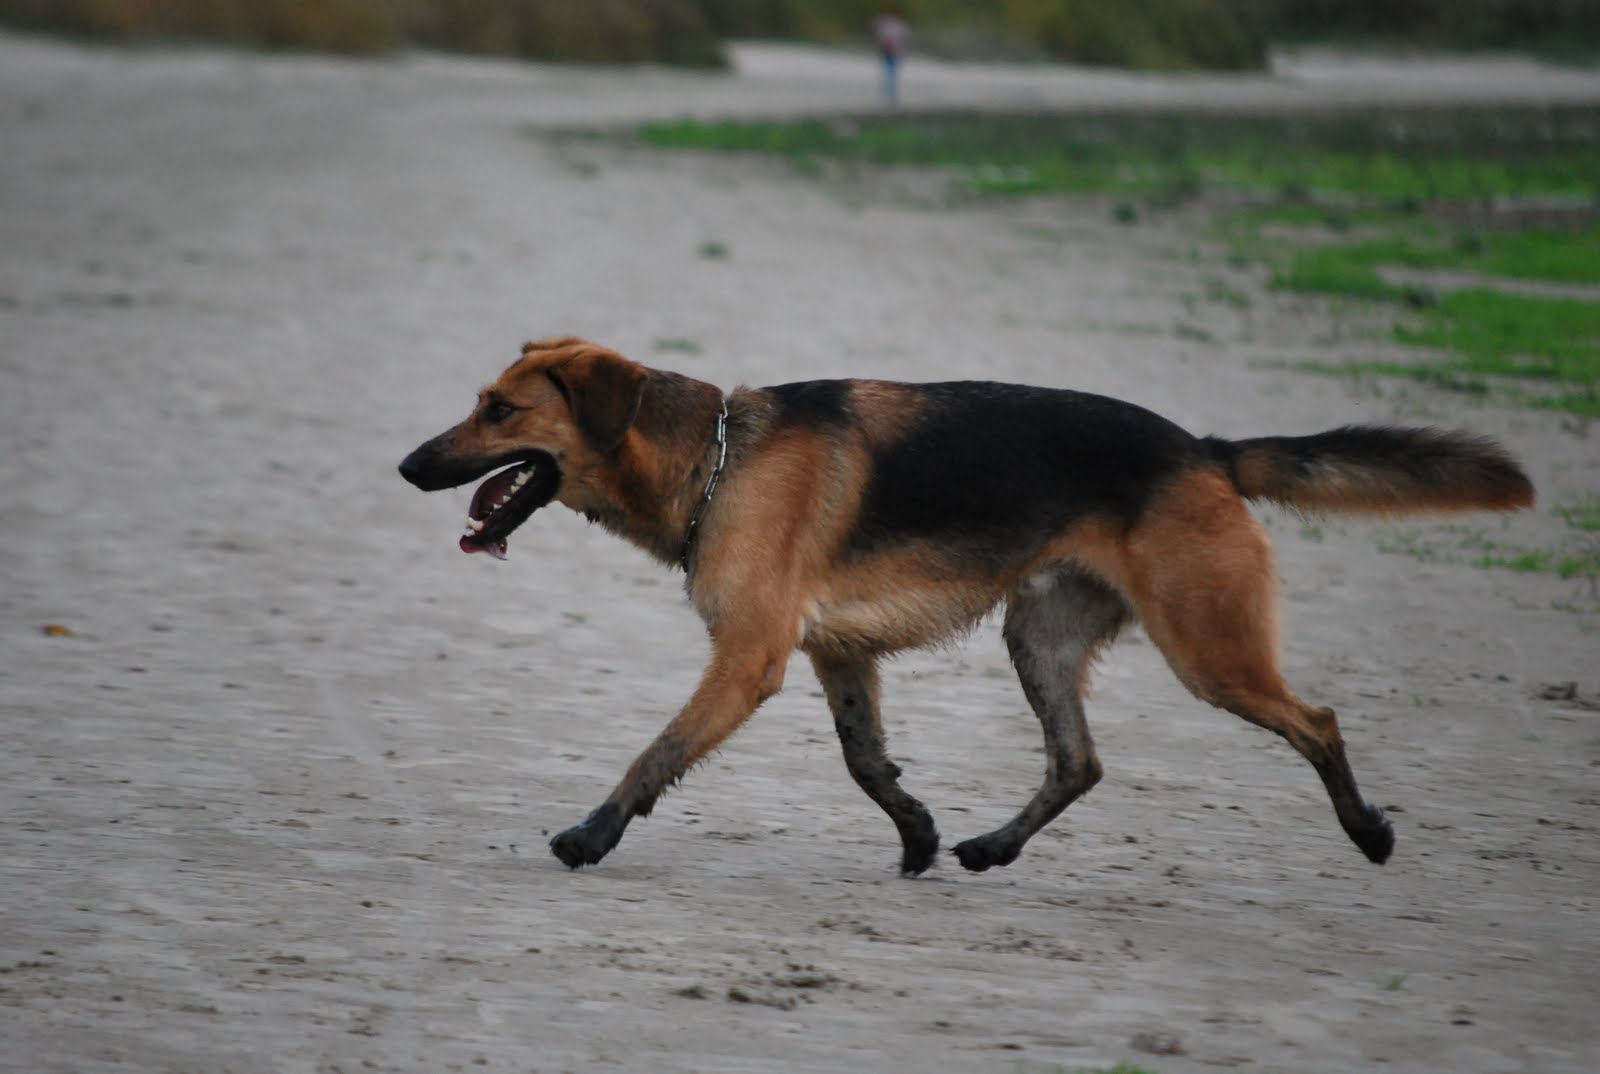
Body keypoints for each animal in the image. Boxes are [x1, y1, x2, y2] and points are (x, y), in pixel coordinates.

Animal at [399, 336, 1533, 874]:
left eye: (498, 410)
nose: (407, 467)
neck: (720, 460)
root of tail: (1205, 453)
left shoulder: (750, 657)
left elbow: (657, 752)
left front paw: (592, 836)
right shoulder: (837, 656)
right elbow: (866, 763)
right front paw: (918, 834)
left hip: (1210, 650)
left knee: (1319, 720)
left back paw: (1369, 833)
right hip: (1040, 637)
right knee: (1079, 762)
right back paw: (992, 847)